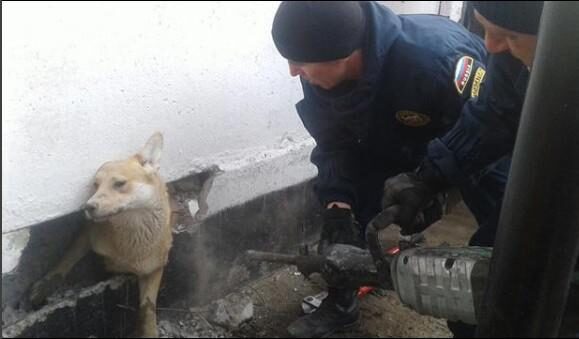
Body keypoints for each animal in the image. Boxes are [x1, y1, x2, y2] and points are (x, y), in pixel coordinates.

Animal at [30, 133, 172, 338]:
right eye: (96, 186)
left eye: (119, 183)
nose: (87, 207)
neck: (133, 243)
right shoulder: (88, 234)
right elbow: (66, 259)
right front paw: (46, 285)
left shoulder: (155, 268)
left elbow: (148, 307)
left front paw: (149, 330)